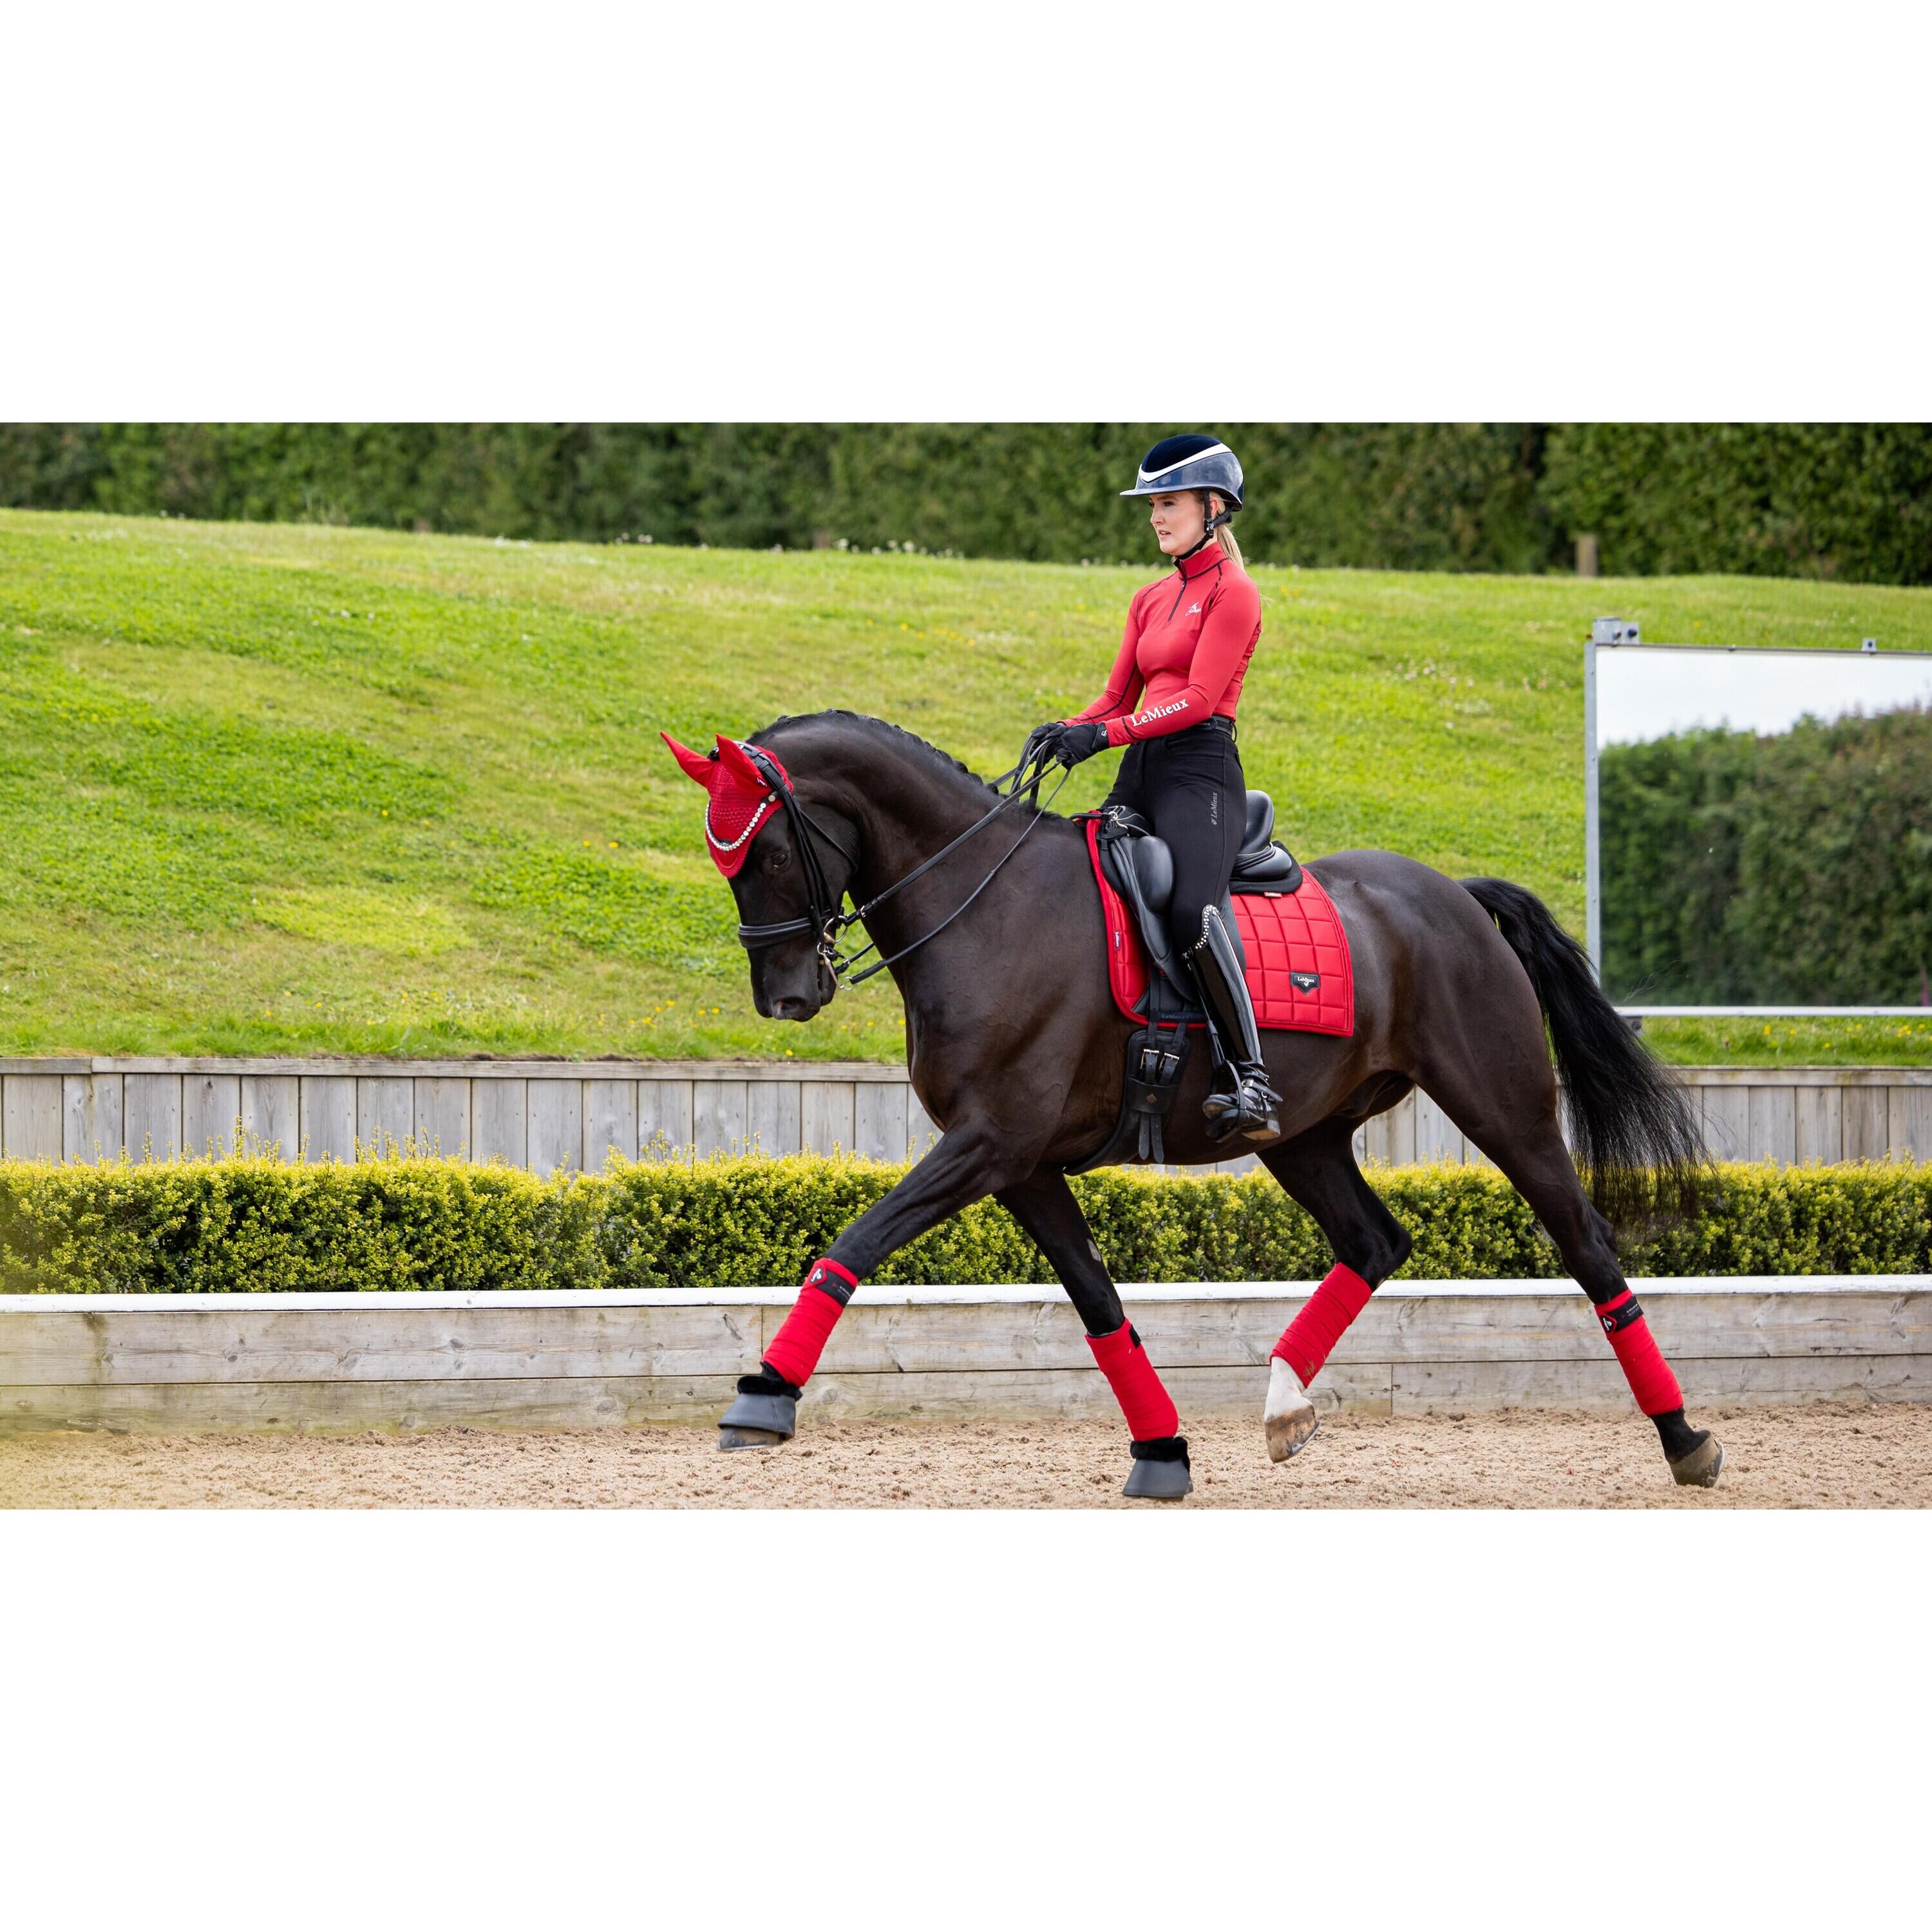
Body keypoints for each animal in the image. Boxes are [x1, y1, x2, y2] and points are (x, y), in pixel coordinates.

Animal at [660, 709, 1723, 1498]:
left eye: (768, 854)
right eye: (724, 860)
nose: (788, 998)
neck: (985, 905)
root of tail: (1453, 896)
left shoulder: (990, 1143)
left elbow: (856, 1240)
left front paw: (764, 1395)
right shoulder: (1022, 1164)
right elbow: (1098, 1302)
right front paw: (1162, 1452)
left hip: (1504, 1110)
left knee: (1588, 1247)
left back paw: (1685, 1439)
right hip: (1303, 1135)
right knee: (1375, 1242)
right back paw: (1285, 1405)